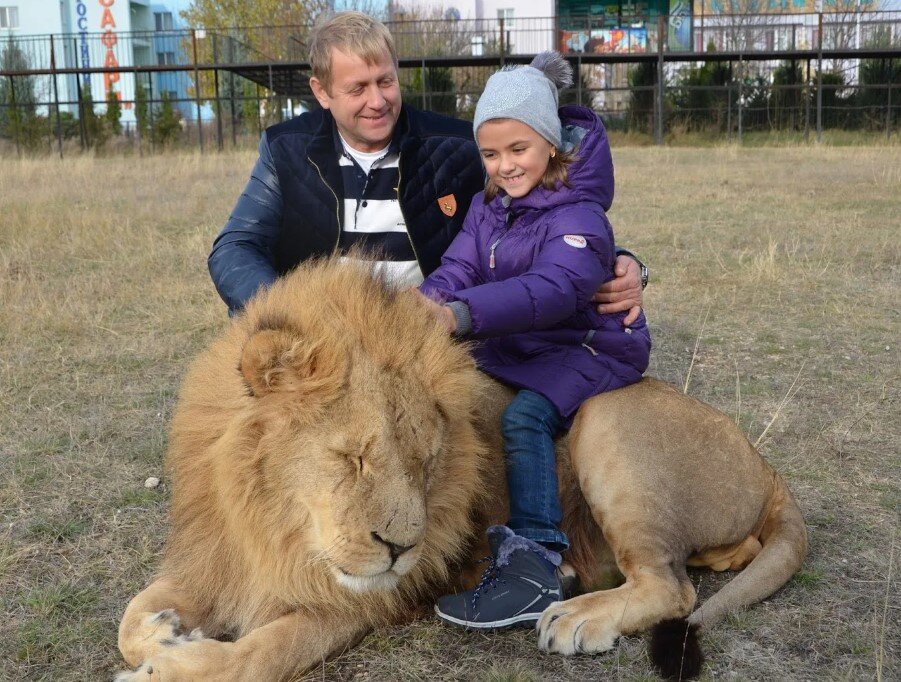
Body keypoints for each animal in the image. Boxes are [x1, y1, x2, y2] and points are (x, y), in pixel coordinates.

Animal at [116, 258, 804, 676]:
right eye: (353, 457)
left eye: (425, 463)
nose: (401, 549)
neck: (269, 523)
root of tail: (766, 467)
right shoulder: (220, 556)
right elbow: (131, 615)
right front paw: (164, 630)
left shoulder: (362, 604)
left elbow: (259, 654)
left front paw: (169, 664)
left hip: (607, 419)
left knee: (671, 587)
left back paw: (577, 615)